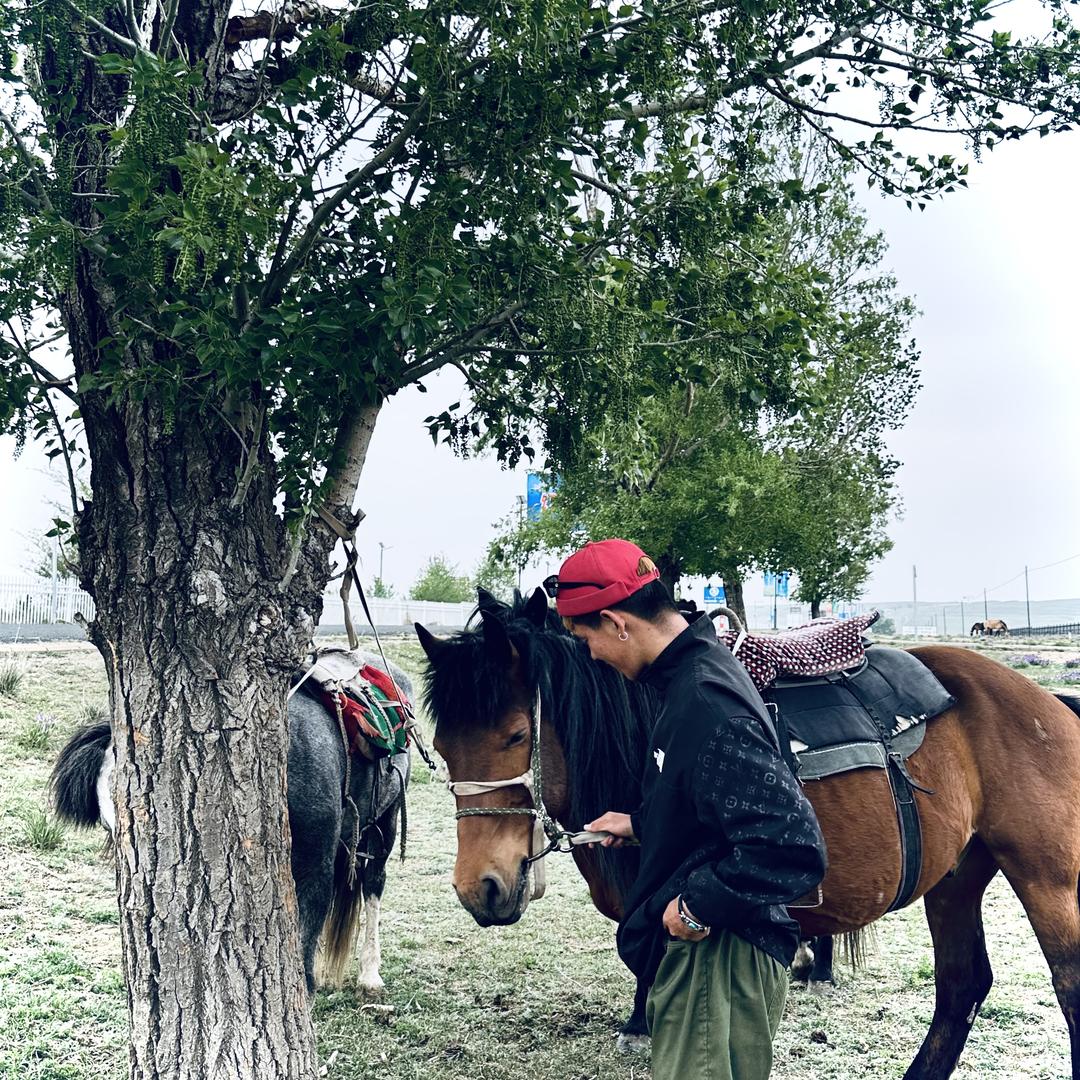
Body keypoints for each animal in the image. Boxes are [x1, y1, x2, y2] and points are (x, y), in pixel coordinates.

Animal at [419, 588, 1080, 1080]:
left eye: (513, 735)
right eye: (443, 745)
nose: (480, 888)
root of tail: (1048, 700)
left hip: (1048, 882)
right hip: (955, 876)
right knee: (962, 986)